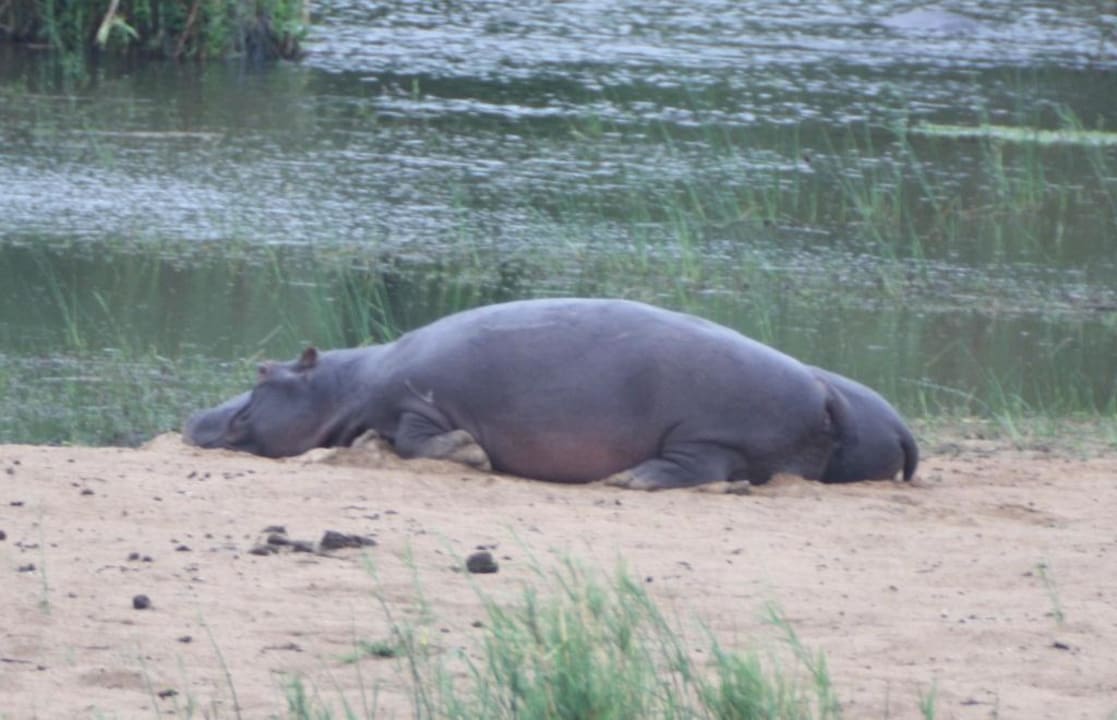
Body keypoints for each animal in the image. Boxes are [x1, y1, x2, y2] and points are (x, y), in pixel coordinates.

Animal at [186, 298, 862, 490]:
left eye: (261, 371)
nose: (194, 414)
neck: (344, 385)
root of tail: (824, 391)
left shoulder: (416, 401)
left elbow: (416, 438)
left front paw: (470, 452)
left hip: (710, 432)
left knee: (702, 466)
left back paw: (630, 479)